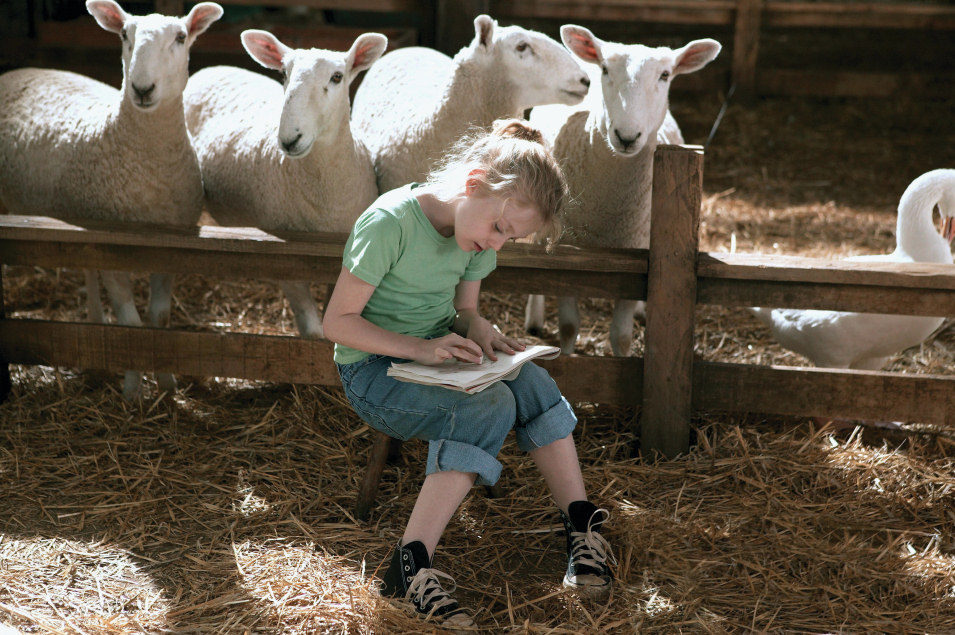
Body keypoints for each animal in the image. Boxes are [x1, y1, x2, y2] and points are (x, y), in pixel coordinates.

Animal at [0, 0, 223, 398]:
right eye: (123, 35)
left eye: (181, 37)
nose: (142, 88)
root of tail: (16, 71)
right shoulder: (112, 247)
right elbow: (130, 325)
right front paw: (134, 392)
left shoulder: (171, 247)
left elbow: (159, 317)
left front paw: (166, 385)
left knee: (88, 271)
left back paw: (94, 322)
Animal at [183, 31, 384, 338]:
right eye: (284, 73)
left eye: (337, 76)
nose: (290, 139)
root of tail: (213, 68)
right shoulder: (285, 259)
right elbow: (314, 332)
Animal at [528, 26, 720, 358]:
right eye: (605, 69)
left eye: (665, 75)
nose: (627, 137)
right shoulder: (566, 253)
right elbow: (569, 326)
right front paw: (567, 358)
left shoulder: (637, 256)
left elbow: (621, 336)